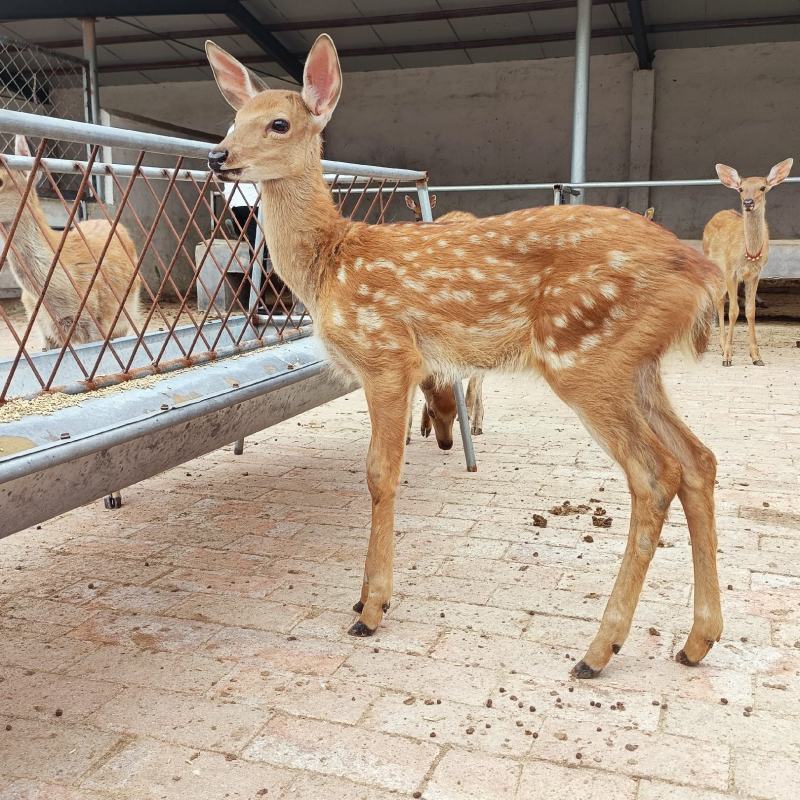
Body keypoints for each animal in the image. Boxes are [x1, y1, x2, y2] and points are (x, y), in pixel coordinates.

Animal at [206, 34, 723, 678]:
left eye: (278, 123)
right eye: (231, 119)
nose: (217, 156)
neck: (331, 263)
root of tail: (699, 271)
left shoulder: (387, 355)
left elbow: (380, 474)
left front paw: (370, 609)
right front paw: (363, 597)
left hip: (585, 355)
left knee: (655, 476)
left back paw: (598, 651)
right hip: (637, 364)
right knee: (699, 461)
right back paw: (696, 641)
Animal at [703, 159, 792, 366]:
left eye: (763, 187)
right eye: (741, 189)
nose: (748, 202)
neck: (749, 252)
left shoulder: (755, 273)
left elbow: (750, 311)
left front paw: (756, 357)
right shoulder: (731, 271)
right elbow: (734, 310)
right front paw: (727, 357)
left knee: (722, 300)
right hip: (715, 266)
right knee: (719, 300)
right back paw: (722, 346)